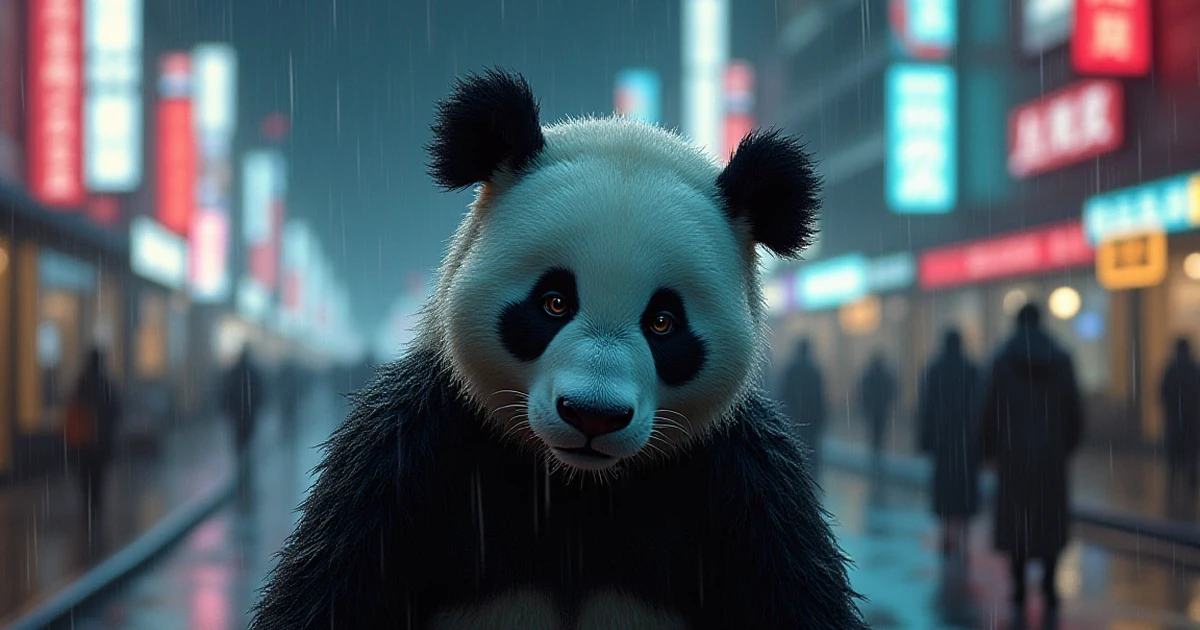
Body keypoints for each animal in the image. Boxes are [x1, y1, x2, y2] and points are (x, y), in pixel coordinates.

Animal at [250, 69, 866, 630]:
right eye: (553, 303)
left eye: (663, 323)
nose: (593, 415)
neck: (573, 487)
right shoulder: (410, 455)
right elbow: (332, 582)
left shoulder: (742, 484)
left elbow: (795, 590)